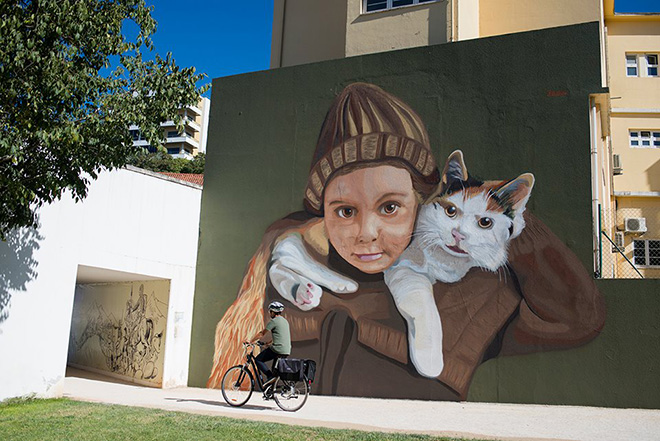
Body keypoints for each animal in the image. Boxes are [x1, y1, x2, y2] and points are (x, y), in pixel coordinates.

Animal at [266, 150, 532, 374]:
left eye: (485, 223)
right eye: (451, 211)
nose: (458, 234)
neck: (448, 262)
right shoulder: (403, 267)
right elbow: (423, 305)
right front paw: (429, 360)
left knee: (279, 263)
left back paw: (302, 292)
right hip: (320, 240)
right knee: (288, 251)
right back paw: (339, 283)